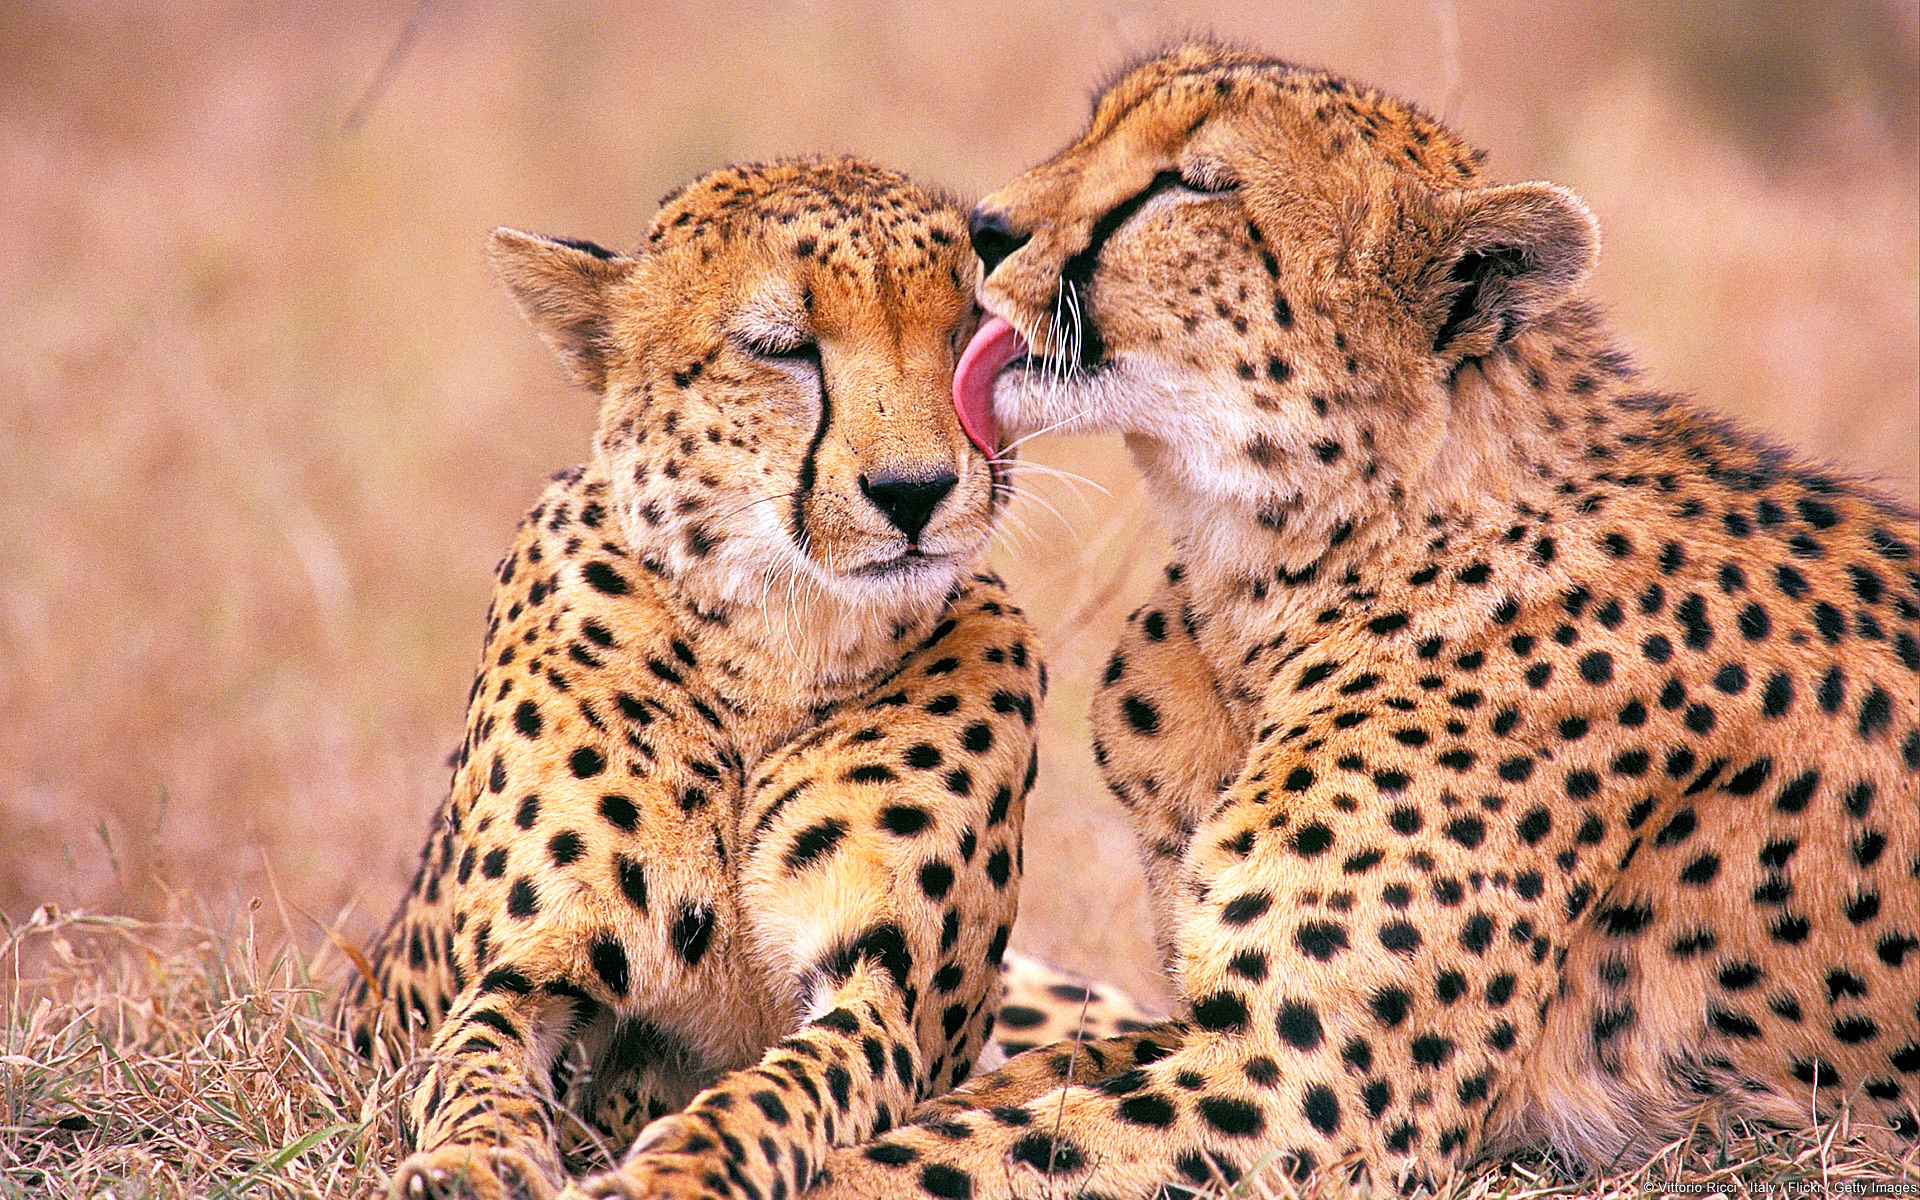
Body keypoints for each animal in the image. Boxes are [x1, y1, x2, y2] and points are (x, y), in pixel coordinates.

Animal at [335, 156, 1071, 1200]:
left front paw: (678, 1170)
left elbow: (782, 1088)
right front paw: (474, 1164)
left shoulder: (888, 993)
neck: (777, 645)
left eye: (971, 335)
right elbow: (474, 1061)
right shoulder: (532, 963)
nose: (914, 491)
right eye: (781, 348)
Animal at [801, 42, 1920, 1198]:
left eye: (1192, 186)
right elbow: (990, 1092)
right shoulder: (1209, 1030)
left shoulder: (1300, 1098)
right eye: (1099, 125)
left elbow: (931, 1158)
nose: (982, 227)